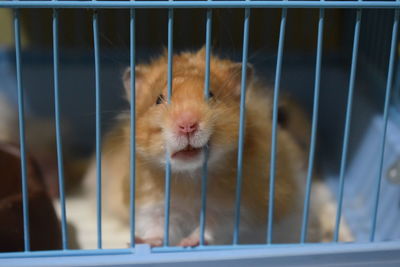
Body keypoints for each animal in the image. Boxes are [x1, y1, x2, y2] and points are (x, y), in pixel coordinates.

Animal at [84, 47, 328, 247]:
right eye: (158, 99)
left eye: (211, 95)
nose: (187, 125)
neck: (190, 176)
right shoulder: (153, 205)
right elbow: (158, 229)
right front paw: (138, 241)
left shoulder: (236, 209)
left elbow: (211, 226)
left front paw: (188, 243)